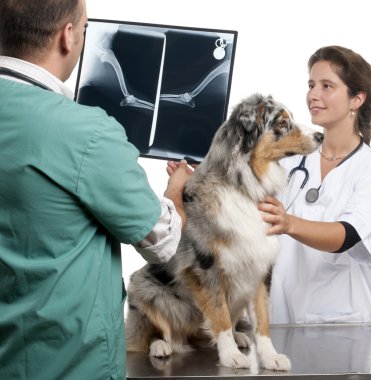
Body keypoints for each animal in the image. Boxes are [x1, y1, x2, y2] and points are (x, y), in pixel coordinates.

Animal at [125, 93, 322, 370]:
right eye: (282, 123)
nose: (321, 136)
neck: (245, 188)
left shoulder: (260, 266)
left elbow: (263, 319)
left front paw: (269, 356)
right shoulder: (207, 266)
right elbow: (219, 315)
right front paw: (230, 355)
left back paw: (238, 336)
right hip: (142, 287)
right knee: (150, 333)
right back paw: (160, 346)